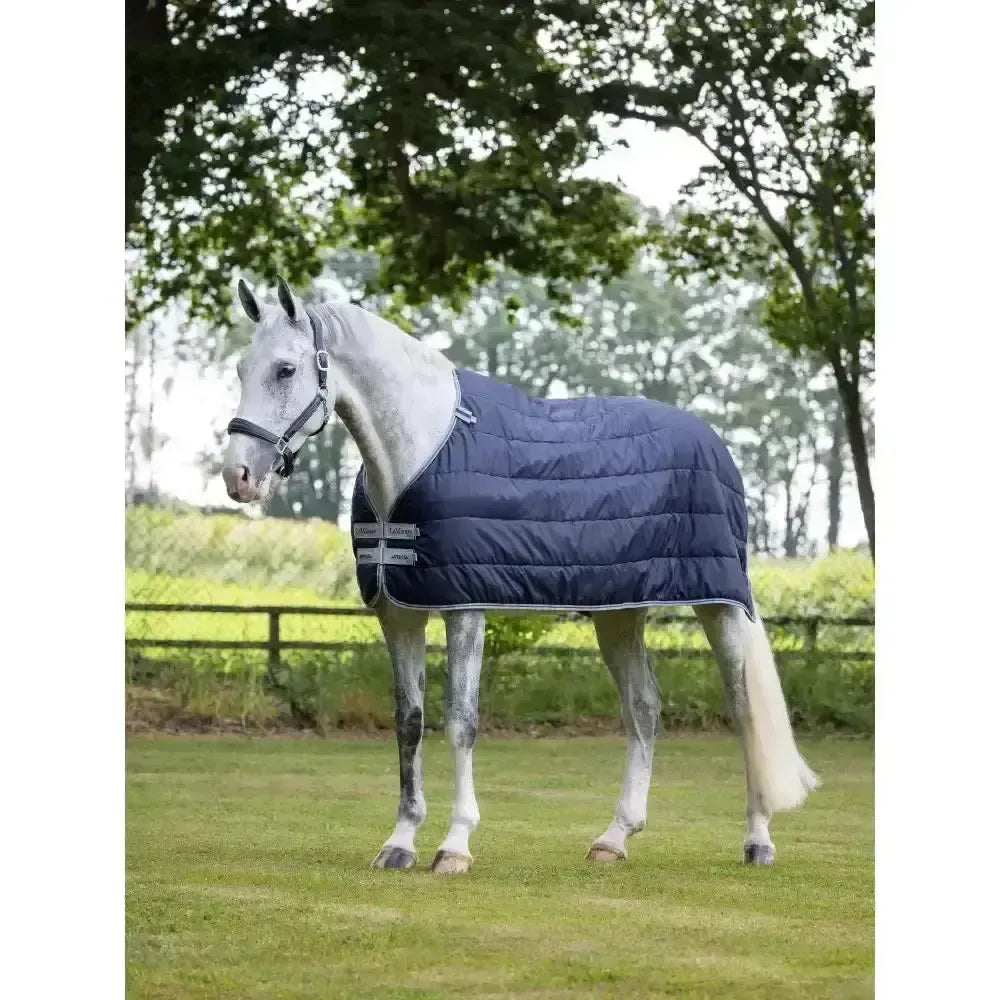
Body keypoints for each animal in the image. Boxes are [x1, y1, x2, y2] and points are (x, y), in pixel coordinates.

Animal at [221, 277, 818, 874]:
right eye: (241, 368)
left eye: (286, 370)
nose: (238, 476)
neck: (421, 447)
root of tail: (712, 440)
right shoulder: (398, 612)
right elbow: (409, 721)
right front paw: (400, 841)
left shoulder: (464, 607)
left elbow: (461, 720)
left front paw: (454, 845)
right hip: (620, 611)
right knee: (644, 709)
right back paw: (614, 838)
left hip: (719, 604)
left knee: (744, 710)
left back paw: (758, 838)